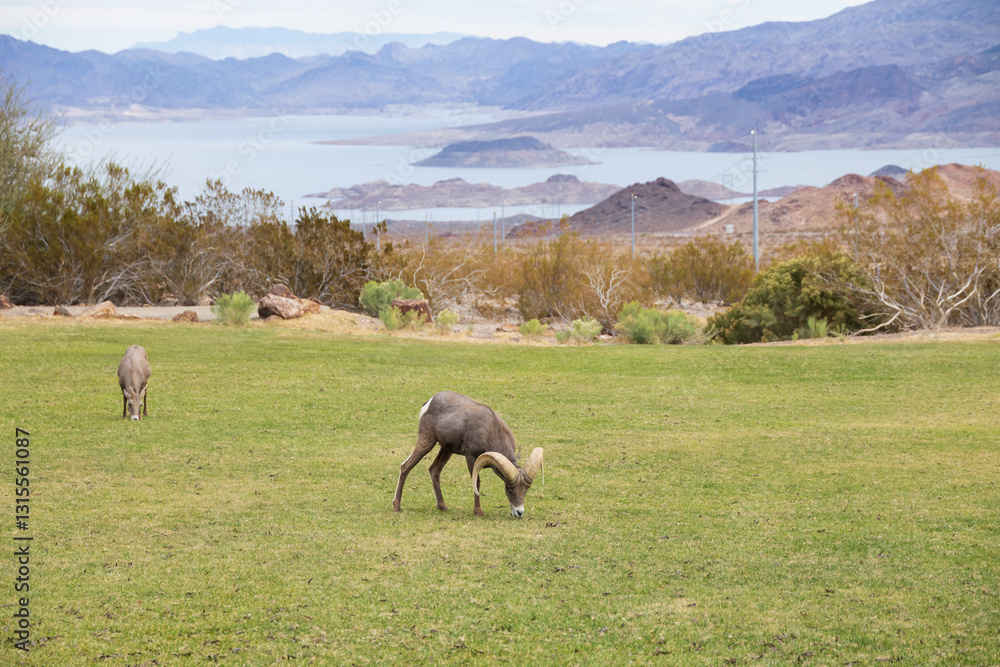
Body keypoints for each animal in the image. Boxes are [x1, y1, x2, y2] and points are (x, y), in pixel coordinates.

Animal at [392, 391, 543, 518]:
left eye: (526, 489)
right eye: (509, 489)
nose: (519, 512)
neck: (491, 430)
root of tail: (429, 402)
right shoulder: (471, 457)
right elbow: (477, 482)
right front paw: (478, 512)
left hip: (446, 450)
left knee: (434, 470)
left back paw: (442, 506)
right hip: (427, 441)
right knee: (405, 467)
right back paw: (397, 507)